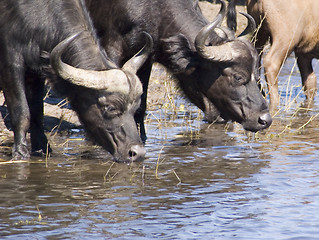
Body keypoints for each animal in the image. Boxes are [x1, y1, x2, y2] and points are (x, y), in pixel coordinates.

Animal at [0, 0, 152, 163]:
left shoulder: (36, 72)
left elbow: (36, 112)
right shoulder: (10, 63)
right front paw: (21, 152)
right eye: (111, 108)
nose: (137, 153)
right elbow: (21, 112)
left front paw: (42, 148)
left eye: (135, 108)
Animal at [86, 0, 274, 141]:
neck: (154, 10)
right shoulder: (111, 49)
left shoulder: (146, 57)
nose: (264, 120)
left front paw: (142, 137)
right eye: (237, 77)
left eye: (256, 74)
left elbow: (141, 103)